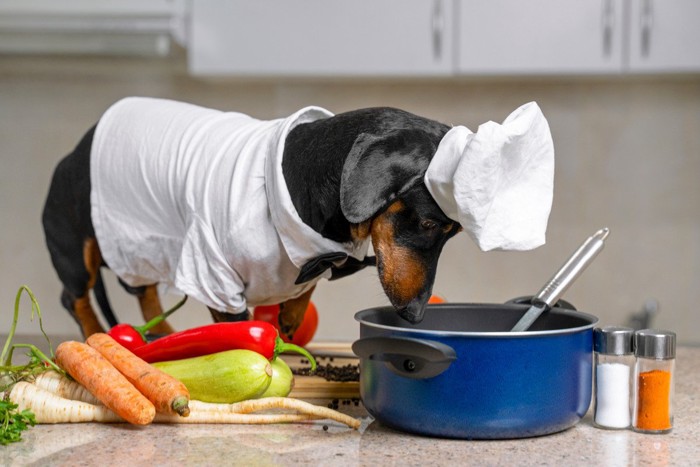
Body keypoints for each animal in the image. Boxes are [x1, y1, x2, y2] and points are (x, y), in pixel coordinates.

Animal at [41, 99, 462, 340]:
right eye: (427, 224)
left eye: (453, 231)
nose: (416, 315)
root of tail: (77, 149)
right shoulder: (216, 281)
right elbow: (238, 331)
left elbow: (303, 287)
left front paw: (290, 318)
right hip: (76, 246)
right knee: (73, 295)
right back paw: (97, 338)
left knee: (143, 291)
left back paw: (159, 333)